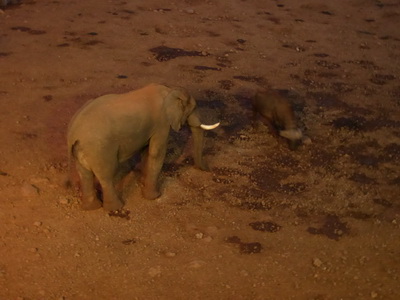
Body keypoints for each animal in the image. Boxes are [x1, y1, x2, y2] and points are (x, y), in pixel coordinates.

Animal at [67, 82, 220, 211]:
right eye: (193, 108)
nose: (208, 169)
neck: (169, 90)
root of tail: (74, 134)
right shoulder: (162, 123)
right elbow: (156, 152)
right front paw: (155, 197)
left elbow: (146, 151)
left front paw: (142, 181)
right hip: (100, 150)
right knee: (106, 176)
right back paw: (116, 208)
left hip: (81, 151)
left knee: (85, 175)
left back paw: (92, 207)